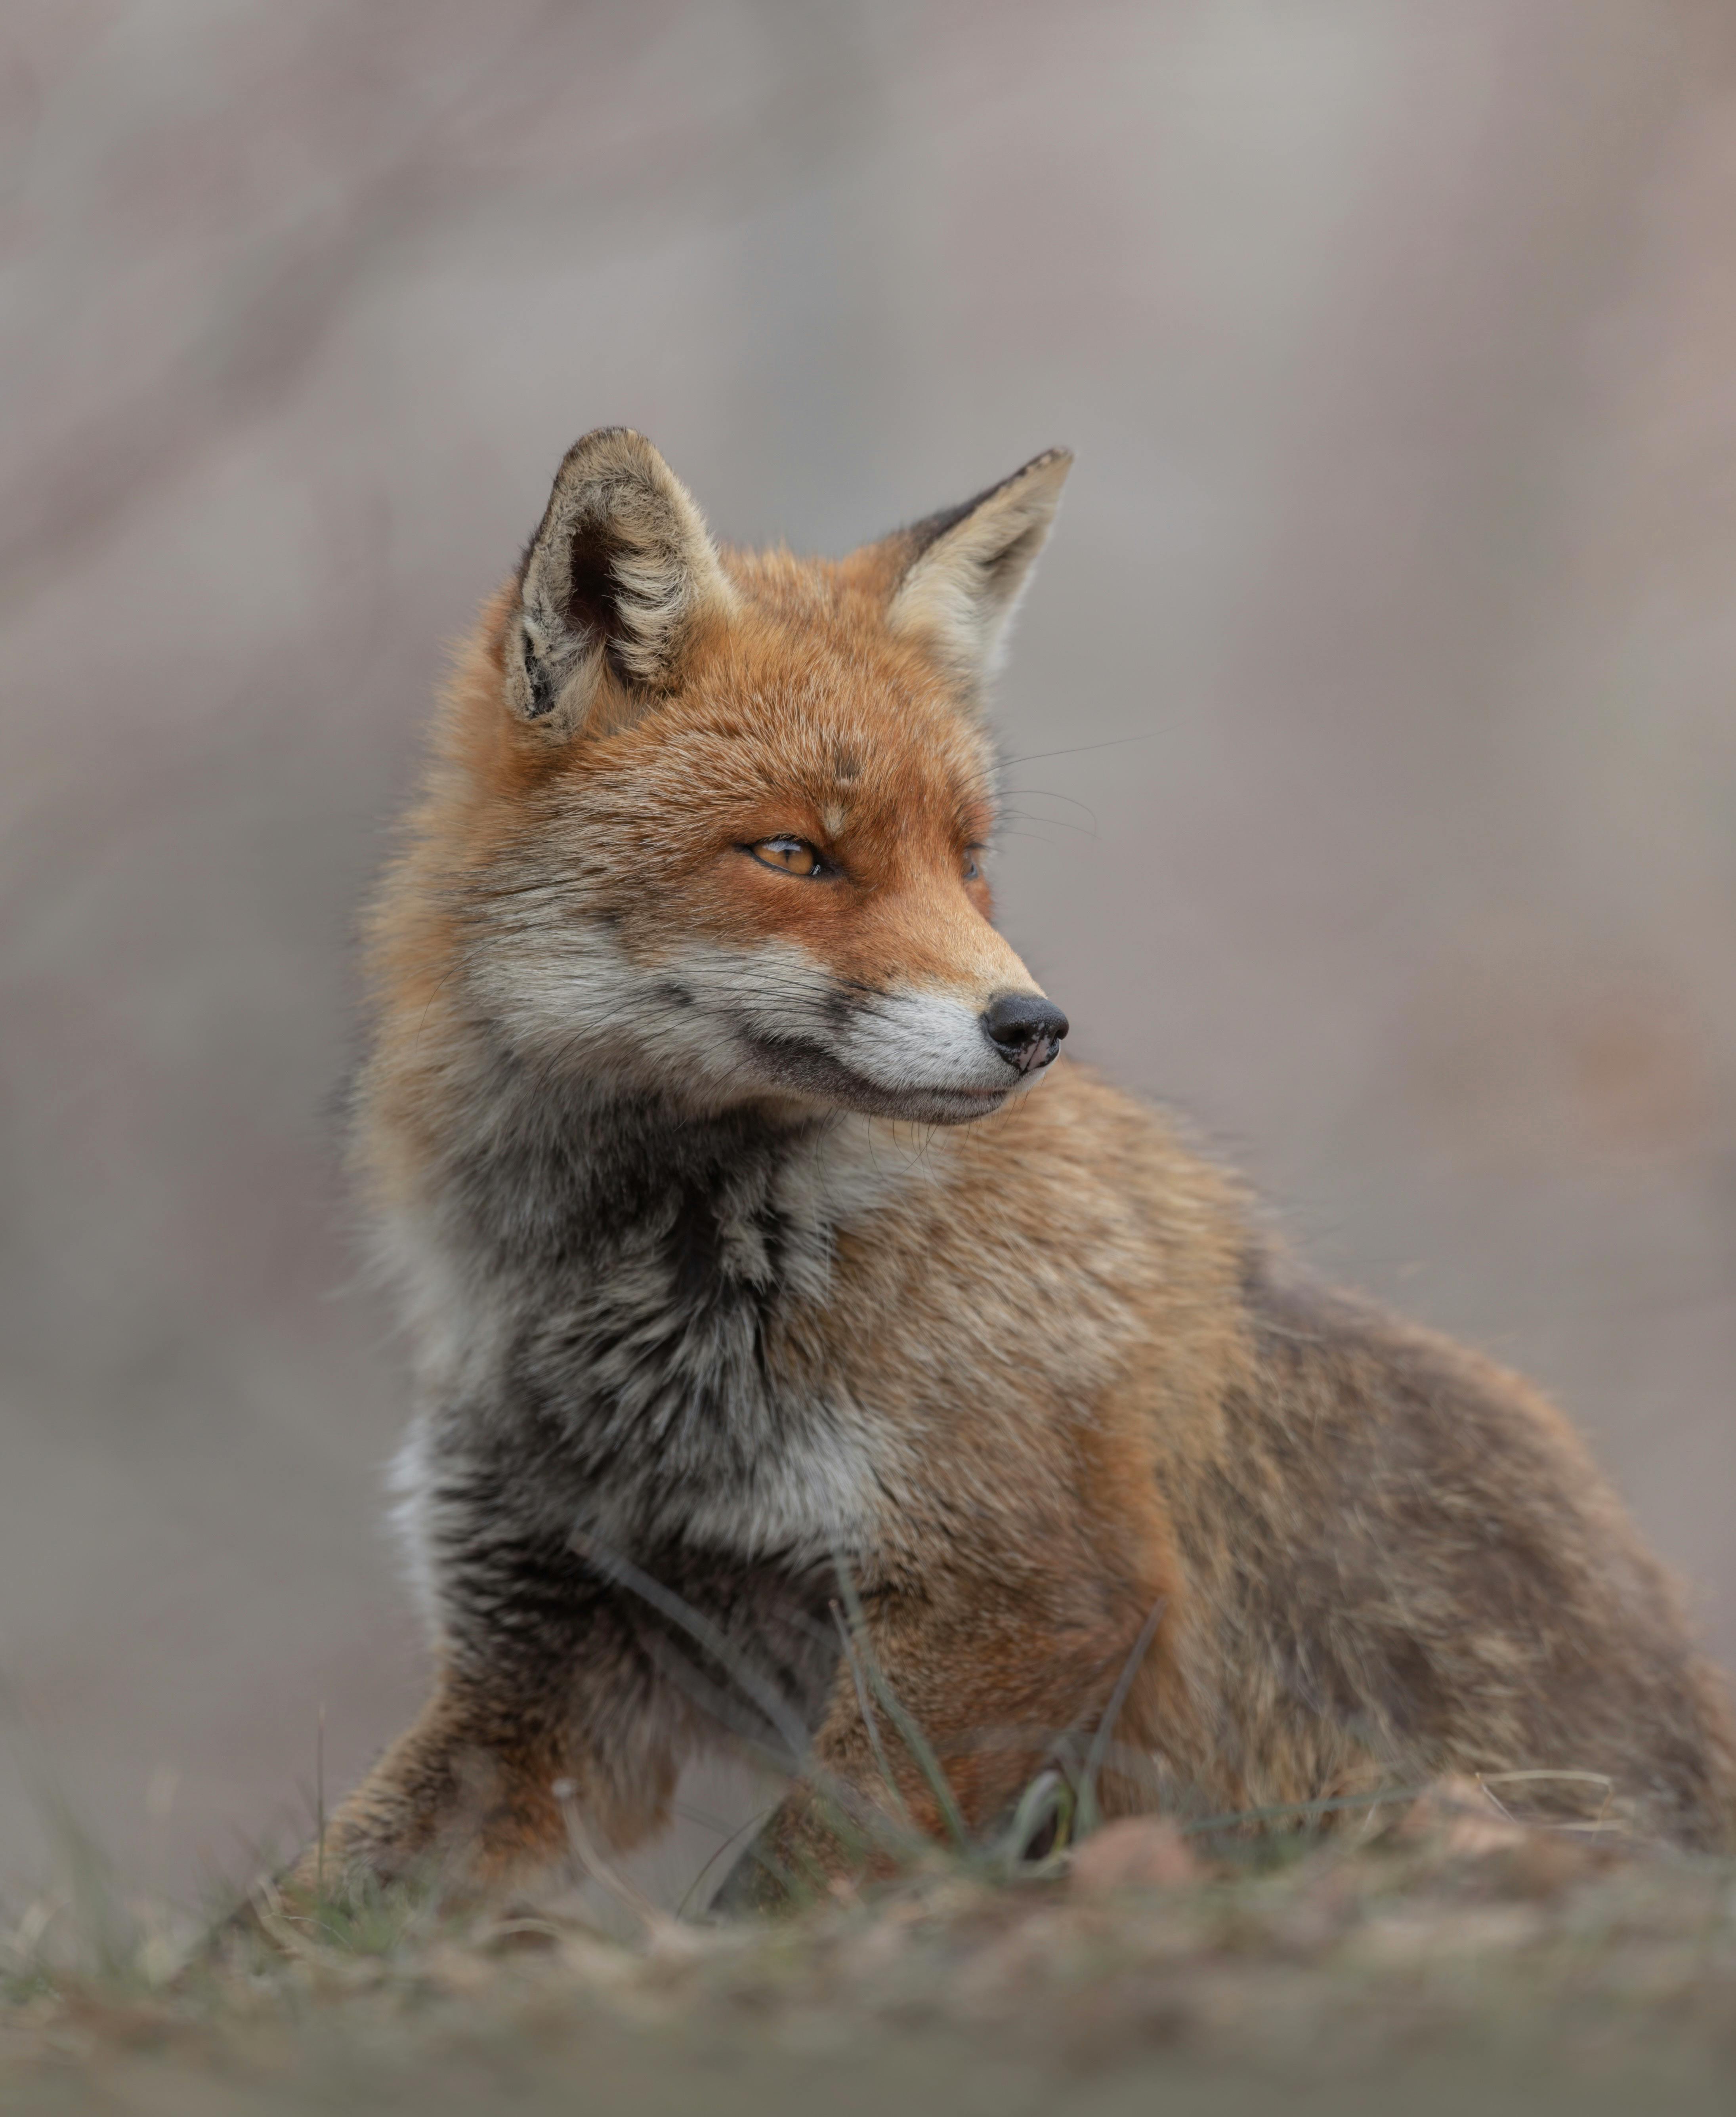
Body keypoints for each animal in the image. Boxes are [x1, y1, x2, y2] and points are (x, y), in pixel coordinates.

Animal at [293, 426, 1736, 1911]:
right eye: (794, 853)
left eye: (967, 860)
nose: (1033, 1026)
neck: (646, 1305)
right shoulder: (540, 1645)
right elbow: (306, 1911)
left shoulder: (1027, 1598)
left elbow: (787, 1884)